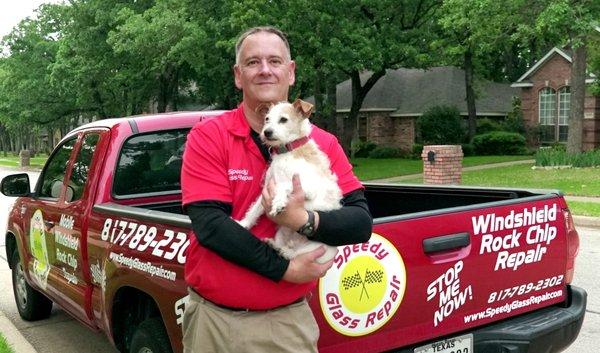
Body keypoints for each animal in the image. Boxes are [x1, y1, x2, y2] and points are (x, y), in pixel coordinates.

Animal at [239, 98, 342, 262]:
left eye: (283, 119)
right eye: (267, 119)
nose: (267, 132)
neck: (287, 152)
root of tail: (294, 243)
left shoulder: (309, 187)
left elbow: (284, 185)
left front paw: (278, 203)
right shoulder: (266, 188)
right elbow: (255, 209)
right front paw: (244, 224)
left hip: (316, 248)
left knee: (295, 256)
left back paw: (285, 252)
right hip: (281, 234)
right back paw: (275, 246)